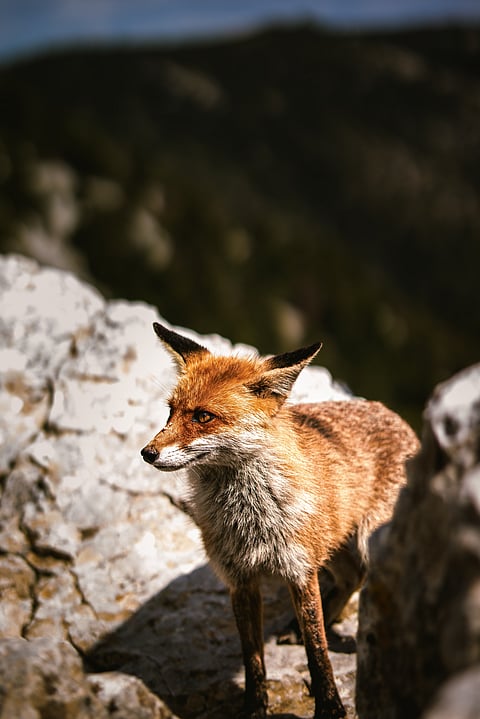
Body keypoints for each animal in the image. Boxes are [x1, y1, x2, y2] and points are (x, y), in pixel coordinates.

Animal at [141, 322, 420, 719]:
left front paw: (330, 706)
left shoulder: (300, 572)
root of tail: (391, 414)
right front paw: (254, 709)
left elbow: (318, 653)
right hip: (332, 543)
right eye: (170, 412)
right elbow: (252, 660)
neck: (248, 517)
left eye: (203, 417)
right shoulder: (239, 579)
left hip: (367, 541)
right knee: (351, 577)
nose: (147, 453)